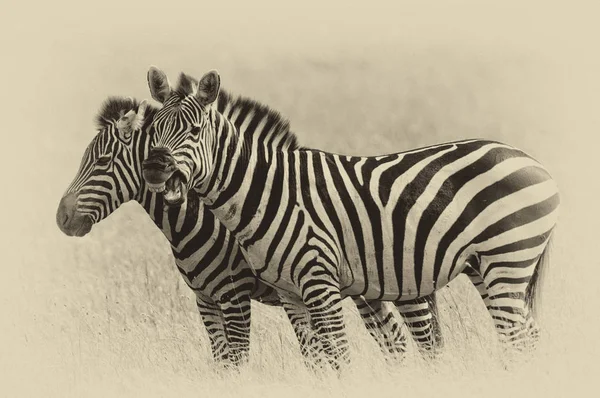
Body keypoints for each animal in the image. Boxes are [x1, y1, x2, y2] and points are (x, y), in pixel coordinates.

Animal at [57, 91, 446, 368]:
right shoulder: (205, 299)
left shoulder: (234, 295)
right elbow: (222, 363)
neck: (203, 218)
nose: (61, 218)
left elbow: (239, 361)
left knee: (423, 342)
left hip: (401, 285)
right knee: (395, 340)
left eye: (102, 161)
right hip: (368, 291)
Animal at [142, 67, 564, 370]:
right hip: (487, 265)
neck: (264, 191)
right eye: (153, 130)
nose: (154, 166)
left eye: (195, 130)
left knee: (515, 339)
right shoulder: (290, 292)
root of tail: (530, 160)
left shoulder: (319, 283)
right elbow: (320, 363)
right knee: (526, 335)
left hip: (508, 258)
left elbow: (339, 358)